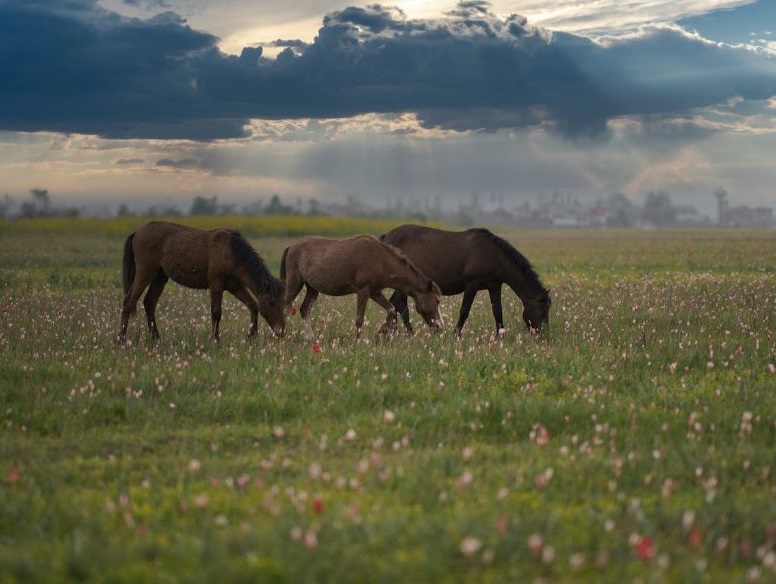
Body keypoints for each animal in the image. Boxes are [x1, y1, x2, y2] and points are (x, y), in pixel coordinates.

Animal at [119, 222, 290, 342]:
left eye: (283, 303)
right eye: (271, 303)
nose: (281, 332)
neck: (232, 252)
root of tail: (137, 232)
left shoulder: (235, 286)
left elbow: (253, 305)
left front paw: (251, 336)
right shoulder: (216, 285)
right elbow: (216, 312)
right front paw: (215, 339)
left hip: (160, 276)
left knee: (149, 303)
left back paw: (156, 339)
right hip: (145, 272)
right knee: (129, 301)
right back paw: (121, 339)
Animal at [280, 235, 442, 340]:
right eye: (437, 300)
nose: (440, 326)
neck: (380, 260)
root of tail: (291, 247)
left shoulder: (375, 292)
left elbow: (391, 309)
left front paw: (382, 331)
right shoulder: (363, 291)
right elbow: (359, 319)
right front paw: (357, 341)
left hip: (312, 289)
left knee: (304, 309)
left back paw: (310, 338)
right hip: (294, 283)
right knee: (286, 307)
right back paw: (281, 334)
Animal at [378, 224, 548, 334]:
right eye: (542, 310)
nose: (543, 333)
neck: (493, 255)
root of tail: (386, 236)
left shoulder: (494, 286)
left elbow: (497, 311)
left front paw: (500, 334)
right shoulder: (472, 284)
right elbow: (464, 310)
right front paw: (456, 334)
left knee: (395, 304)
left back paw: (391, 331)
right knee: (401, 306)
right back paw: (408, 333)